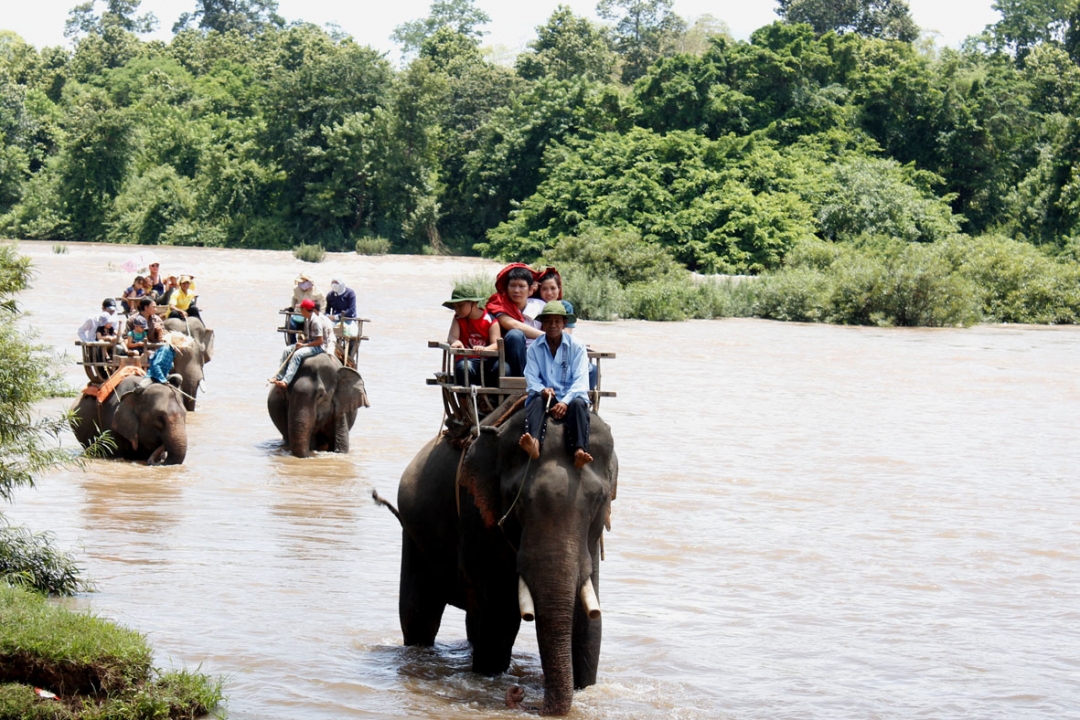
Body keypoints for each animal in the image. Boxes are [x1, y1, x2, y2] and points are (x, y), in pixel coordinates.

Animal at [395, 399, 617, 716]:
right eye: (516, 500)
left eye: (600, 499)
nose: (518, 694)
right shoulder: (478, 516)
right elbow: (499, 616)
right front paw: (490, 676)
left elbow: (587, 625)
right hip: (414, 535)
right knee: (419, 615)